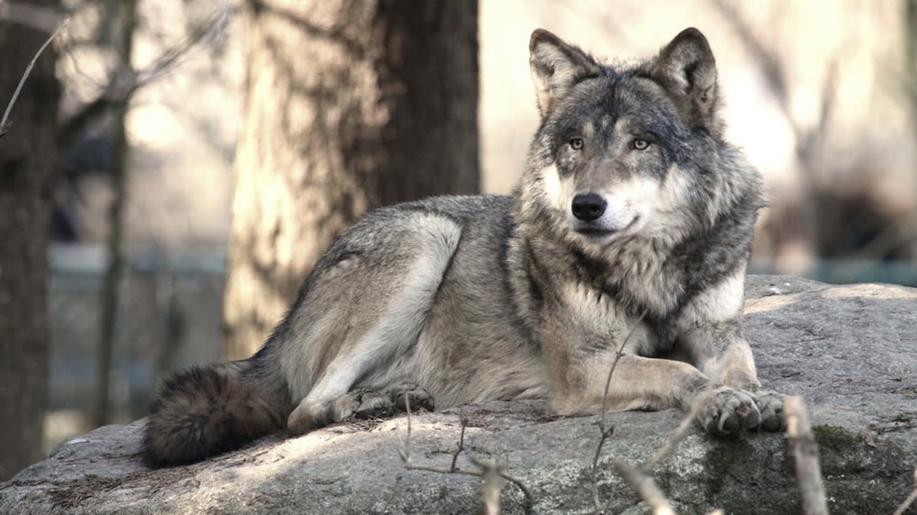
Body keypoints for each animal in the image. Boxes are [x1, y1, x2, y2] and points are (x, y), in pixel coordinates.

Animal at [145, 27, 788, 468]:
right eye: (575, 144)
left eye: (641, 143)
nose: (586, 206)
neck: (650, 264)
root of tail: (280, 327)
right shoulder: (586, 367)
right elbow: (680, 371)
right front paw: (720, 401)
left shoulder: (718, 331)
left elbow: (739, 367)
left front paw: (757, 398)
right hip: (426, 238)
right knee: (302, 409)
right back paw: (375, 403)